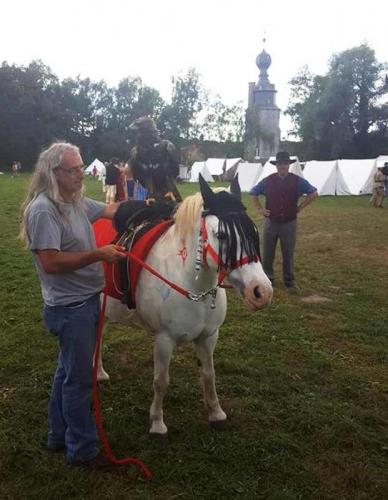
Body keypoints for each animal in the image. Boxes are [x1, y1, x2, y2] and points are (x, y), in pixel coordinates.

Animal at [99, 177, 272, 438]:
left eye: (253, 230)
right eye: (221, 235)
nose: (261, 291)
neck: (191, 285)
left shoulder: (208, 337)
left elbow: (208, 374)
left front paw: (216, 413)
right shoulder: (164, 339)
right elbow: (161, 381)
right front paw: (157, 423)